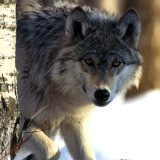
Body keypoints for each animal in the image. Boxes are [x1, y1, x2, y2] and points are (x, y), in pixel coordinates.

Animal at [16, 0, 142, 159]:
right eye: (88, 61)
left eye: (115, 63)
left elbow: (86, 155)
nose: (102, 94)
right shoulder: (21, 121)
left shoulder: (76, 122)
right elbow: (52, 150)